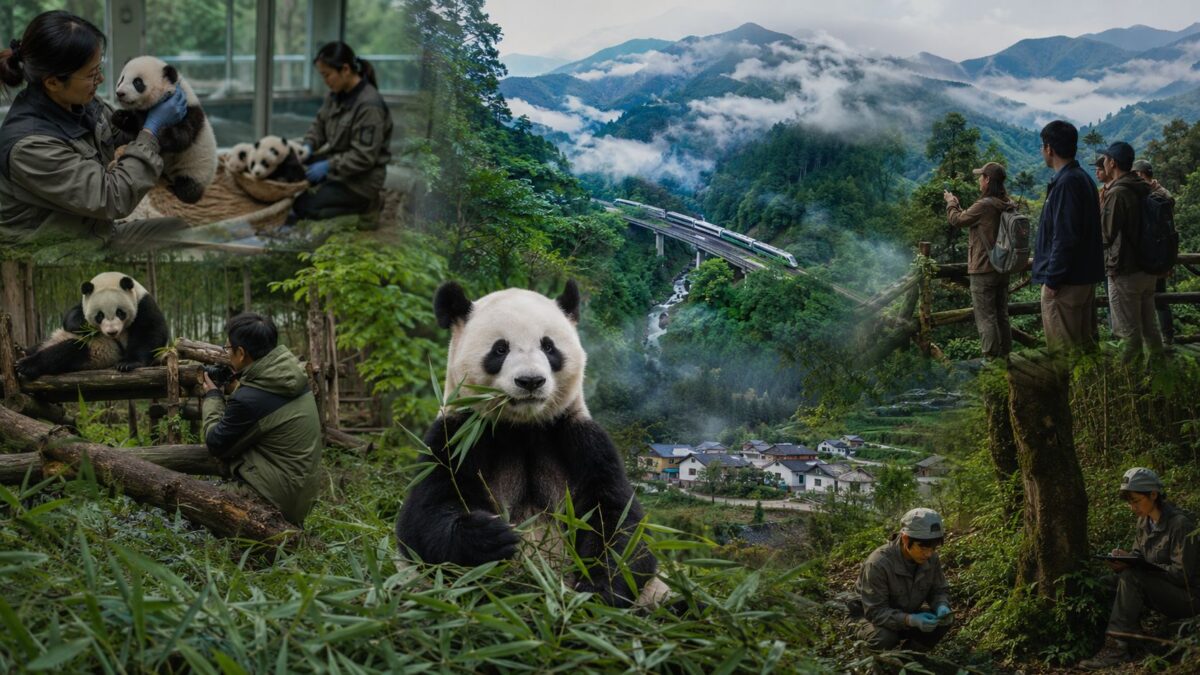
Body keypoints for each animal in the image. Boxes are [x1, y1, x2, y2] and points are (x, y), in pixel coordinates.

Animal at [15, 272, 169, 380]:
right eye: (99, 315)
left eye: (120, 312)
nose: (112, 332)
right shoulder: (83, 304)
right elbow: (70, 316)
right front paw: (83, 325)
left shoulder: (144, 304)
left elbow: (150, 333)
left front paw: (127, 363)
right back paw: (20, 350)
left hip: (98, 352)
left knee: (67, 351)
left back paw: (26, 366)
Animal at [110, 56, 218, 204]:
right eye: (122, 79)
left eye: (137, 82)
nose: (120, 93)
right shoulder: (143, 114)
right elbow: (137, 126)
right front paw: (119, 116)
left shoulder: (188, 112)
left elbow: (183, 137)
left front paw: (162, 134)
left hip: (197, 168)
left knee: (189, 186)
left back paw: (176, 189)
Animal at [395, 280, 664, 608]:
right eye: (500, 349)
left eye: (548, 347)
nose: (531, 381)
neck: (522, 427)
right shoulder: (457, 436)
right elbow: (423, 518)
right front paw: (491, 536)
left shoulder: (580, 440)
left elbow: (617, 520)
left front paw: (598, 590)